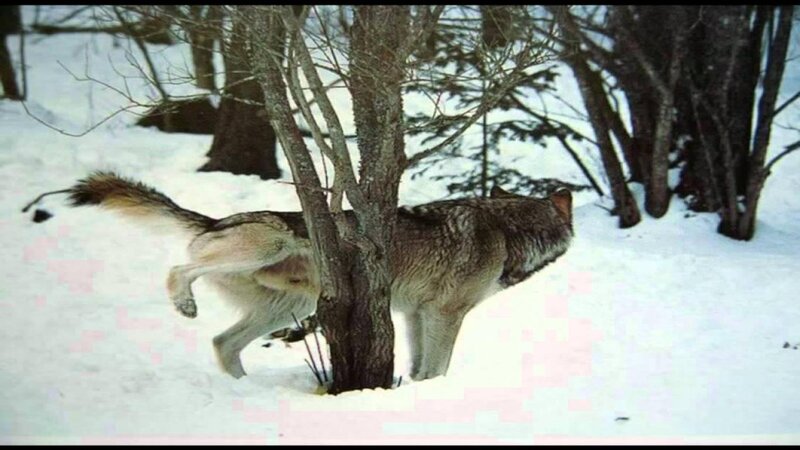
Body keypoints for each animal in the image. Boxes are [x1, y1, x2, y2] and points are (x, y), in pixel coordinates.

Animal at [61, 171, 574, 381]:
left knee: (222, 343)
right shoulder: (446, 314)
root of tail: (214, 221)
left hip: (289, 307)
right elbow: (439, 364)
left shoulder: (415, 314)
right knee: (177, 269)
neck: (507, 230)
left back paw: (242, 389)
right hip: (266, 252)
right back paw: (184, 303)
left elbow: (419, 365)